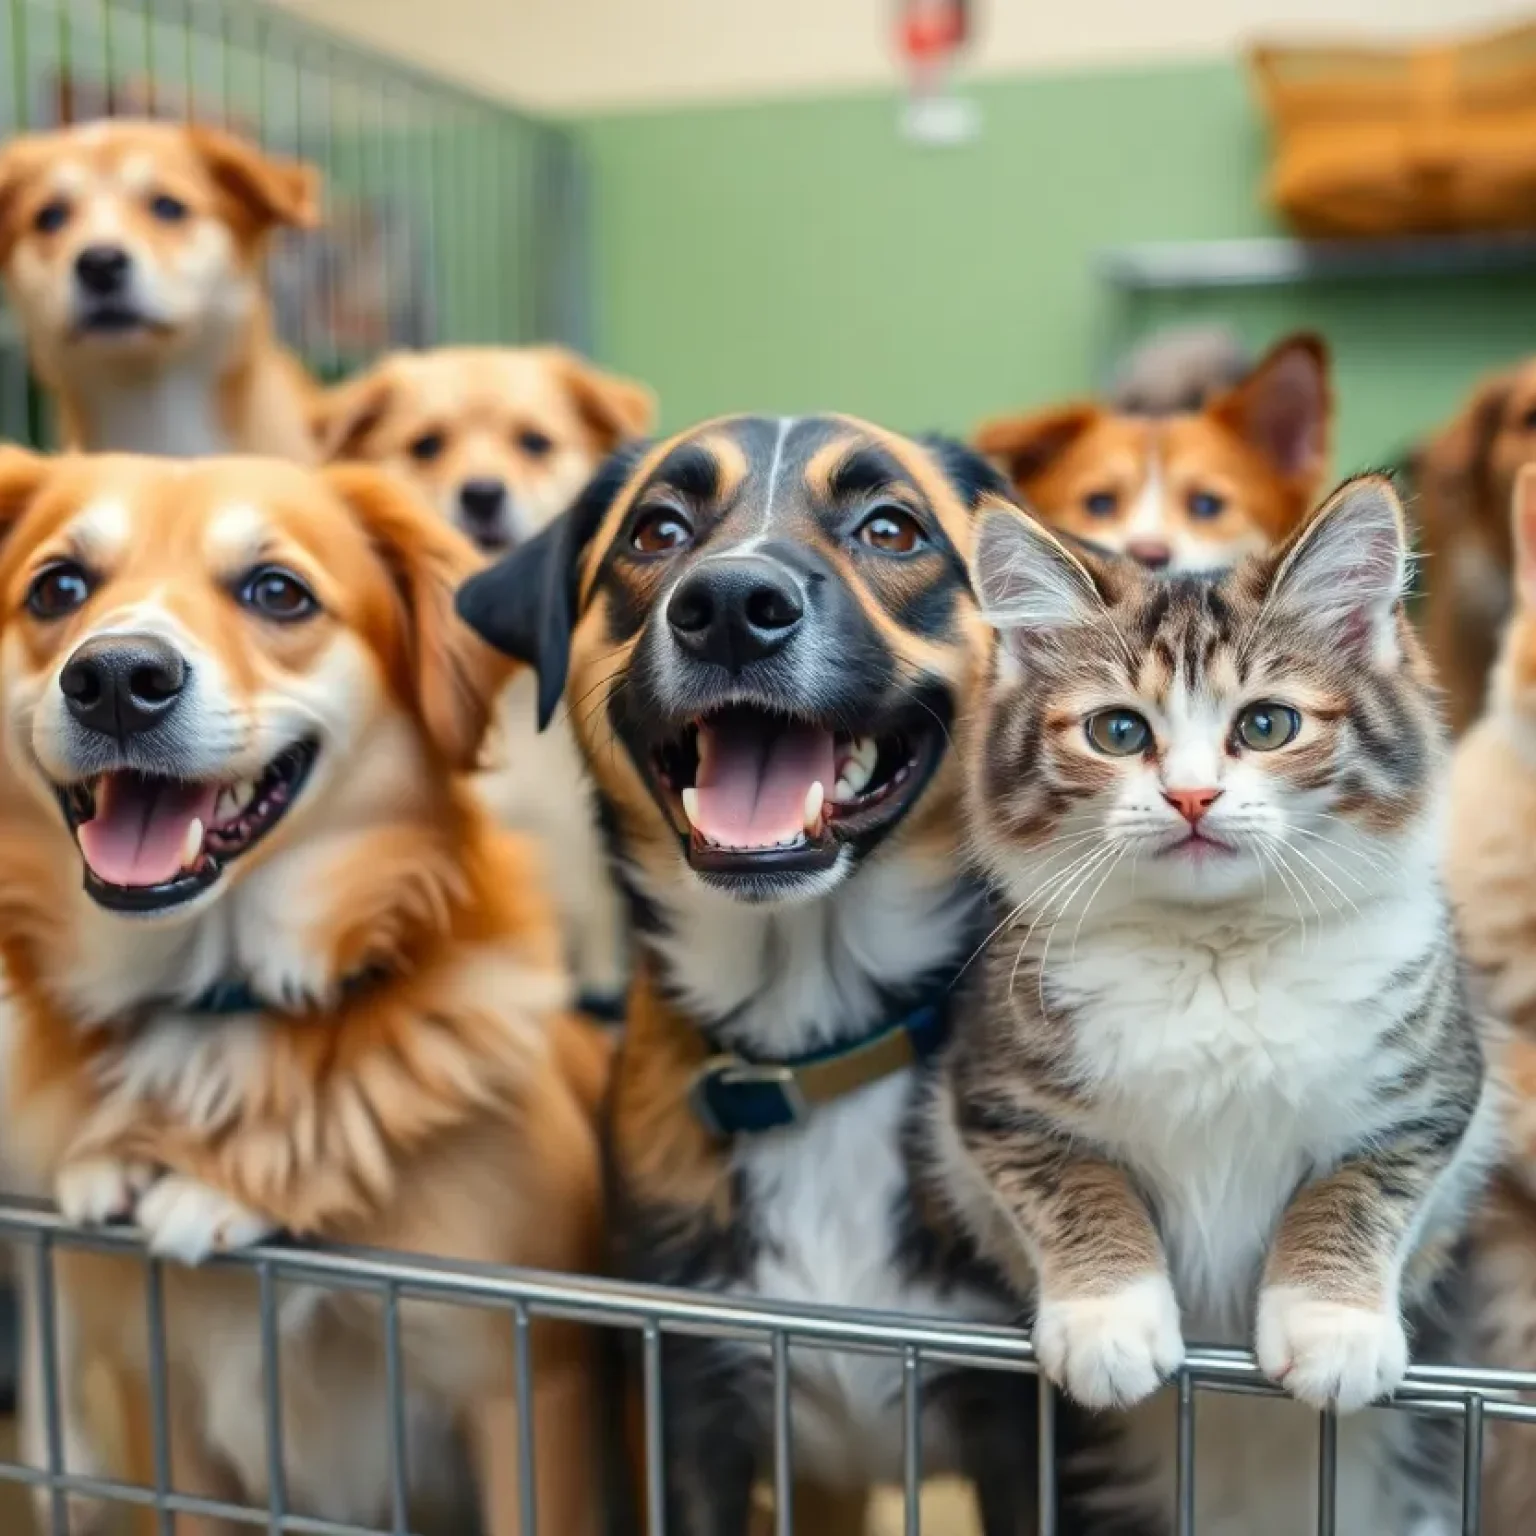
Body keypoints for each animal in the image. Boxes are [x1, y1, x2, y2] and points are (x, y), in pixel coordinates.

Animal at [0, 448, 605, 1529]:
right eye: (57, 588)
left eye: (277, 591)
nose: (115, 681)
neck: (221, 1006)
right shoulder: (166, 1403)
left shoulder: (529, 1387)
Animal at [460, 417, 1050, 1536]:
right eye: (656, 529)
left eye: (892, 528)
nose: (732, 606)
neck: (809, 1041)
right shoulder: (695, 1409)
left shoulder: (1025, 1438)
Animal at [927, 473, 1492, 1529]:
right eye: (1118, 731)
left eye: (1266, 725)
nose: (1191, 797)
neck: (1214, 951)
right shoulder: (987, 1090)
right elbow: (1072, 1179)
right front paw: (1108, 1317)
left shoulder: (1437, 1085)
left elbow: (1359, 1184)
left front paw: (1333, 1322)